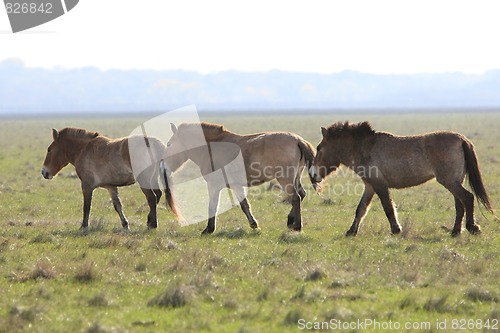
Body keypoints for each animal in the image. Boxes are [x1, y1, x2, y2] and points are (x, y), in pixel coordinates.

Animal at [41, 126, 178, 228]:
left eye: (49, 149)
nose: (44, 172)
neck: (84, 149)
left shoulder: (86, 186)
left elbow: (87, 207)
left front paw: (84, 226)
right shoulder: (110, 187)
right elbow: (117, 206)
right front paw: (125, 224)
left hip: (144, 180)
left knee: (152, 198)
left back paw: (153, 224)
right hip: (152, 179)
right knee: (158, 195)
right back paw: (150, 220)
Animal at [164, 122, 316, 233]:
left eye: (169, 144)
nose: (164, 164)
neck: (212, 147)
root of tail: (298, 140)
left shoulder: (213, 186)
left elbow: (212, 206)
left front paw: (209, 229)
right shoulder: (236, 185)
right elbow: (244, 205)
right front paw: (254, 225)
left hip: (285, 179)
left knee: (295, 198)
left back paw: (297, 226)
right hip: (295, 178)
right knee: (302, 194)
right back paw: (291, 221)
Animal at [310, 121, 494, 236]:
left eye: (319, 148)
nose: (312, 174)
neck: (365, 148)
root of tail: (461, 139)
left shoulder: (380, 185)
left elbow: (388, 208)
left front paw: (396, 229)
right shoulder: (370, 186)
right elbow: (360, 209)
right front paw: (351, 231)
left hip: (450, 181)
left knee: (467, 198)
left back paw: (472, 227)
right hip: (454, 181)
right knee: (460, 204)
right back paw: (455, 232)